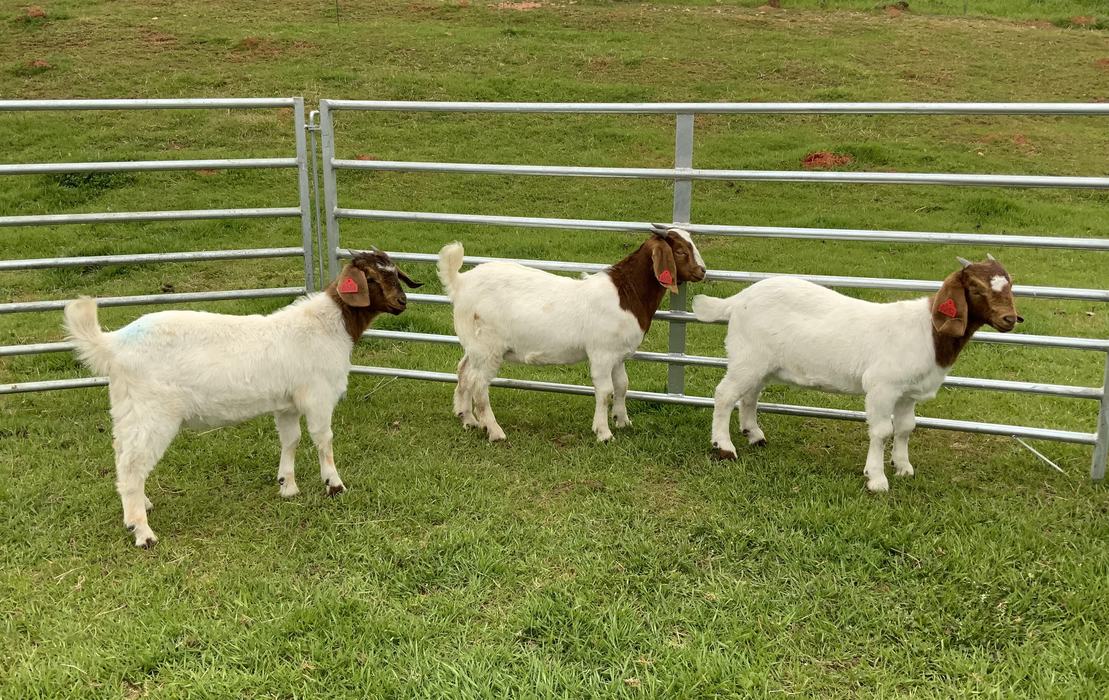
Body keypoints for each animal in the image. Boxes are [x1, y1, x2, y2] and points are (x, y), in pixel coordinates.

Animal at [63, 251, 422, 547]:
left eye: (395, 273)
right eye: (371, 278)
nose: (403, 301)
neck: (329, 326)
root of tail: (113, 344)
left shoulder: (287, 403)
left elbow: (291, 440)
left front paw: (287, 485)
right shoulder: (318, 395)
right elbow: (324, 440)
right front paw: (334, 485)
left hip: (127, 409)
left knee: (122, 456)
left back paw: (136, 510)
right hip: (153, 412)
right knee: (134, 465)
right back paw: (143, 532)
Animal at [437, 227, 707, 442]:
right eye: (680, 251)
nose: (702, 271)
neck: (626, 294)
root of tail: (460, 283)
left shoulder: (618, 354)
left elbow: (622, 385)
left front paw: (623, 421)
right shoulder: (601, 352)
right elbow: (605, 391)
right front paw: (603, 433)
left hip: (474, 345)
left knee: (464, 372)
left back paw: (467, 418)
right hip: (488, 347)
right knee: (479, 385)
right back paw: (494, 431)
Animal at [692, 256, 1022, 492]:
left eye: (1010, 286)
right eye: (976, 288)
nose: (1009, 319)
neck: (929, 332)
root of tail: (738, 300)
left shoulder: (908, 393)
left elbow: (906, 428)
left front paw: (903, 467)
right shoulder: (882, 387)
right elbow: (882, 431)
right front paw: (876, 479)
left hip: (761, 362)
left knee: (749, 396)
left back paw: (754, 435)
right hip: (748, 357)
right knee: (725, 395)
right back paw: (724, 447)